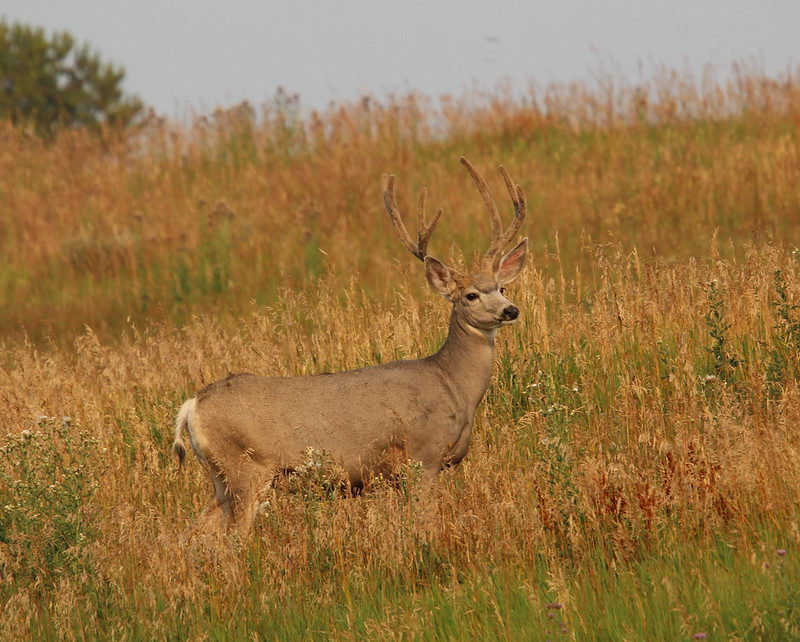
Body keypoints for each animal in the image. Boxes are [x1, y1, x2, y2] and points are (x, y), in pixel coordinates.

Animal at [172, 156, 528, 528]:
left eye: (501, 287)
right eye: (471, 295)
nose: (510, 310)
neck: (452, 383)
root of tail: (192, 405)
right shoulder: (423, 458)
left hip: (221, 479)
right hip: (245, 470)